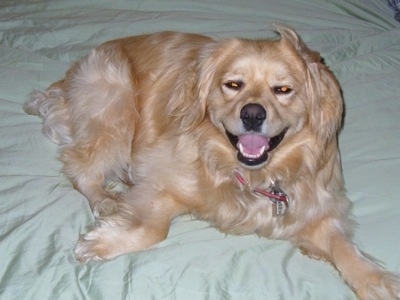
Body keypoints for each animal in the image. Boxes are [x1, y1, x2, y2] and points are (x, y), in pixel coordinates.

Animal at [23, 27, 398, 298]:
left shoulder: (316, 204)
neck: (252, 174)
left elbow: (342, 244)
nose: (252, 114)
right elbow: (153, 229)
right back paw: (104, 198)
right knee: (79, 165)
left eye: (283, 90)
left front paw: (375, 280)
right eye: (232, 85)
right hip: (116, 105)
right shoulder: (158, 176)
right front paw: (101, 242)